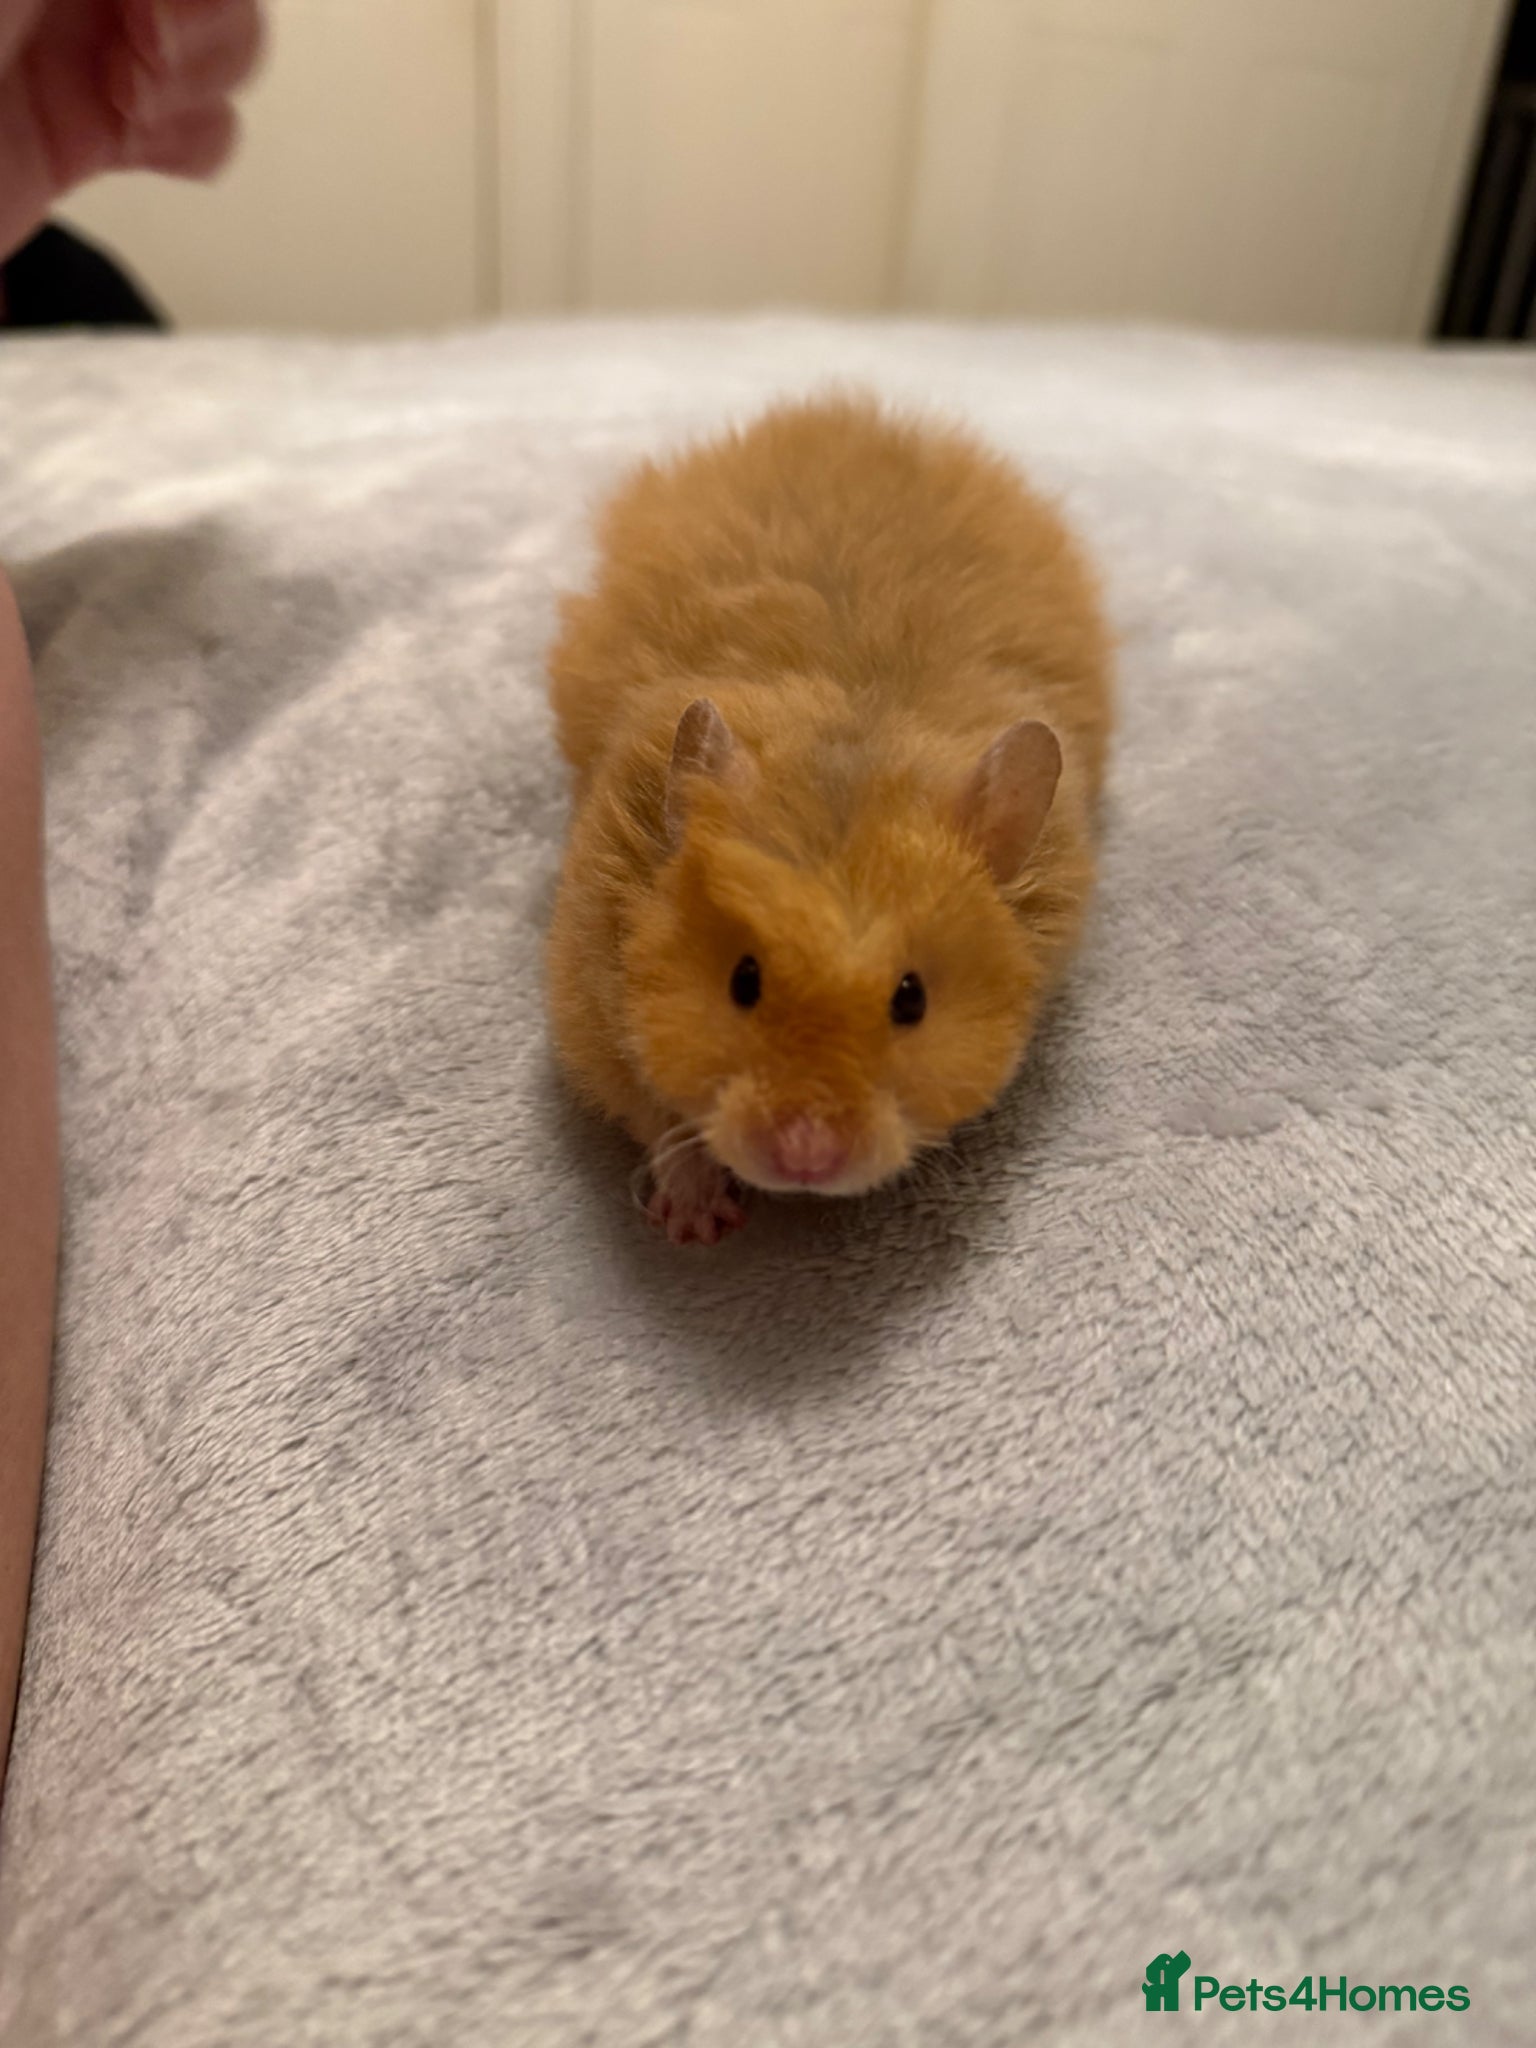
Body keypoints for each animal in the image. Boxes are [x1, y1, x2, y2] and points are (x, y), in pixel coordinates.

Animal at [545, 393, 1113, 1244]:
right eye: (743, 981)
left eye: (911, 999)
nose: (804, 1156)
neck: (854, 728)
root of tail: (849, 406)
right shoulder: (585, 988)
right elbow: (651, 1109)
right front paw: (699, 1229)